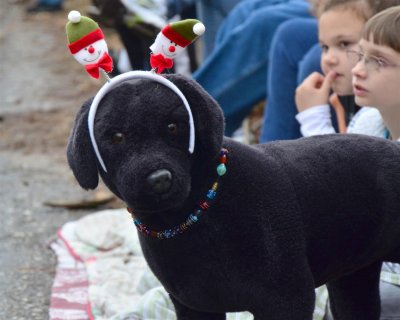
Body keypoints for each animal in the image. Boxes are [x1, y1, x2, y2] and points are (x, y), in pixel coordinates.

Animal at [67, 74, 400, 318]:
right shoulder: (193, 306)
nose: (158, 180)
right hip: (353, 281)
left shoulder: (288, 299)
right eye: (116, 136)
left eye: (173, 126)